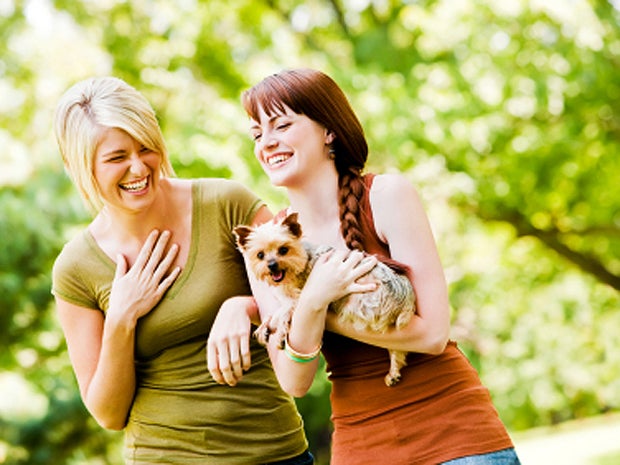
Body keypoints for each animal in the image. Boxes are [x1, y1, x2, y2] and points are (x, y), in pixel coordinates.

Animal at [233, 212, 416, 386]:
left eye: (283, 250)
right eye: (260, 255)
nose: (271, 265)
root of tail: (406, 296)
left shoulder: (300, 298)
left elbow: (284, 313)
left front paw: (279, 333)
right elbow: (278, 311)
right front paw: (266, 327)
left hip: (358, 306)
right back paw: (394, 372)